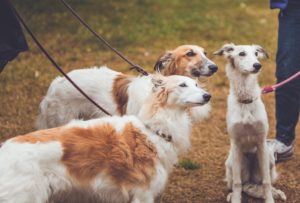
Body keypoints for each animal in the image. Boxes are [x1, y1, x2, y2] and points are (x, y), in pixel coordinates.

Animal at [0, 74, 211, 203]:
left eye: (196, 84)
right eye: (182, 85)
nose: (208, 96)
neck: (152, 130)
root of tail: (5, 150)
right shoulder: (144, 194)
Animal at [213, 43, 286, 202]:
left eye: (256, 53)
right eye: (242, 53)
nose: (258, 65)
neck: (245, 101)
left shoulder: (261, 142)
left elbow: (266, 182)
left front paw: (270, 199)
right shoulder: (235, 144)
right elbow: (237, 183)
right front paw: (235, 198)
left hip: (269, 158)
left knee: (264, 182)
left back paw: (276, 192)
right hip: (231, 162)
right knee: (238, 184)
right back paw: (231, 194)